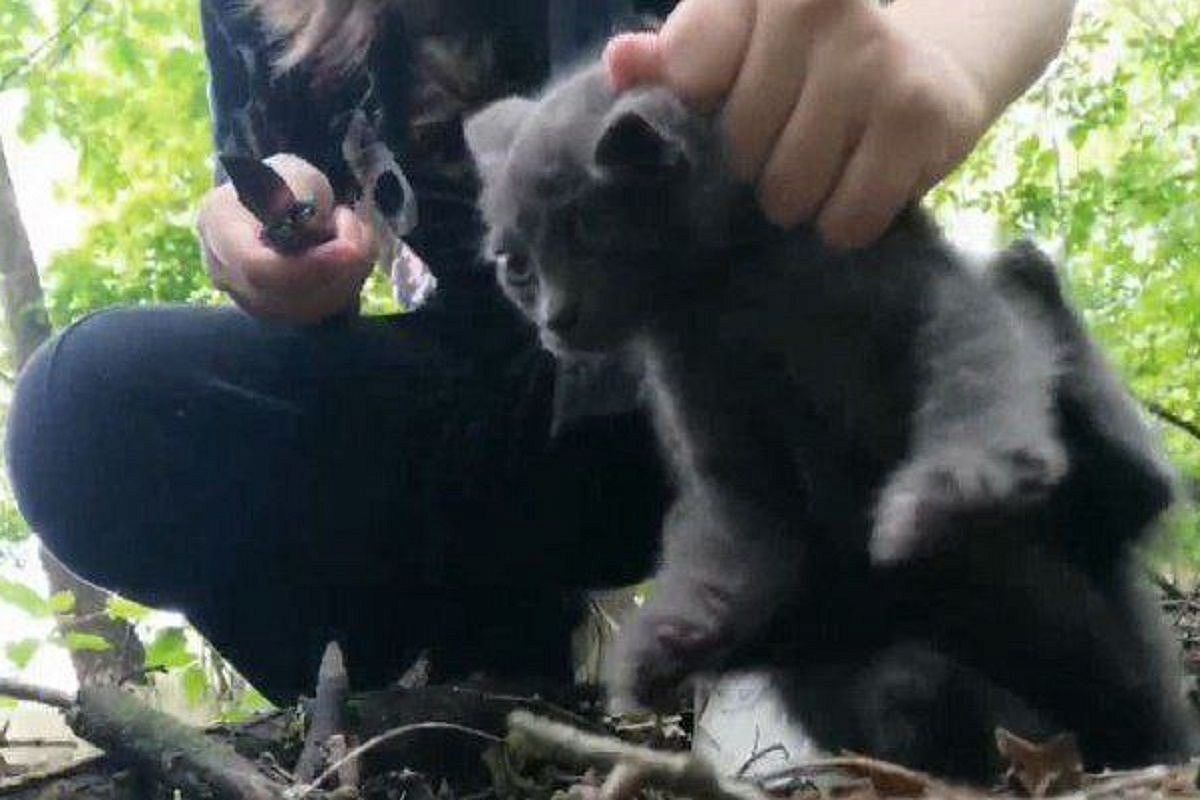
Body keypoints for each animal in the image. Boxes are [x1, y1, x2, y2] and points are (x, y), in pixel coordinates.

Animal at [460, 65, 1190, 777]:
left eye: (585, 230)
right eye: (517, 267)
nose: (552, 318)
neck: (731, 285)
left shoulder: (927, 288)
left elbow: (975, 364)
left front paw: (955, 487)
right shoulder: (711, 416)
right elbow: (735, 527)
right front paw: (673, 635)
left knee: (1136, 479)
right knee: (903, 684)